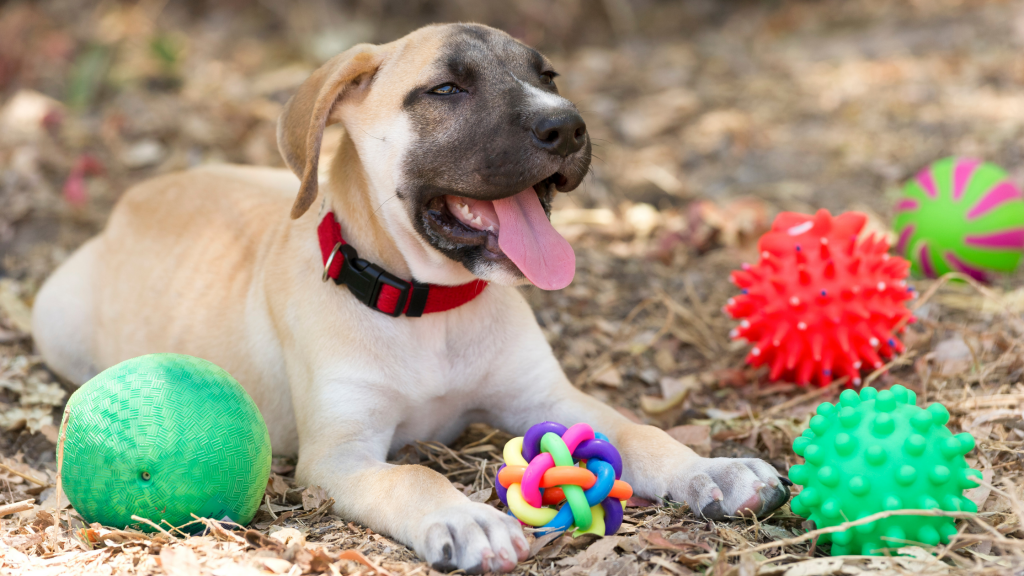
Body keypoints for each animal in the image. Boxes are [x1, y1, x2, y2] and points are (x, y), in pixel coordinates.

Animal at [29, 23, 782, 573]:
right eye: (446, 89)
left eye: (548, 78)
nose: (567, 126)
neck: (429, 307)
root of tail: (136, 195)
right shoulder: (339, 457)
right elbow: (412, 478)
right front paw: (469, 518)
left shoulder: (549, 397)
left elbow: (636, 431)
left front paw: (711, 469)